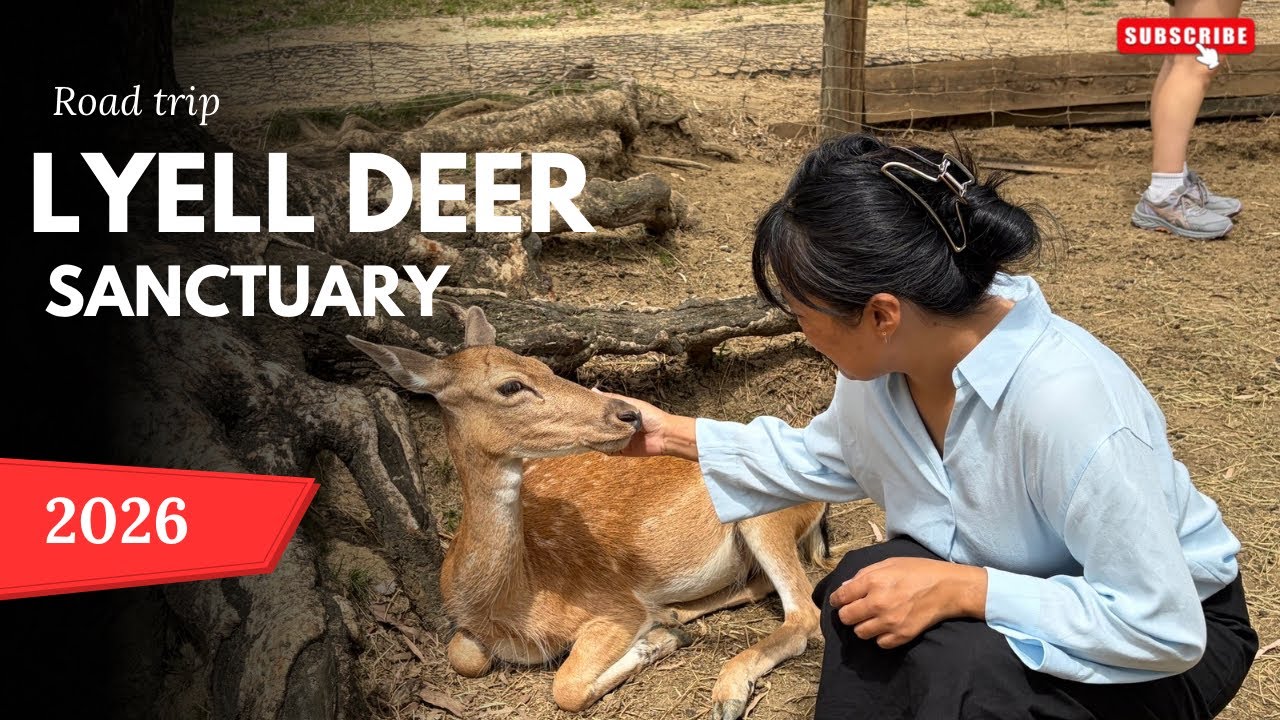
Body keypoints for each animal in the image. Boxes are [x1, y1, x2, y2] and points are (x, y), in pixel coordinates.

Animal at [348, 304, 827, 720]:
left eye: (542, 365)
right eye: (510, 385)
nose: (628, 413)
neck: (509, 606)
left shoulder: (613, 605)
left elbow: (566, 686)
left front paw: (653, 644)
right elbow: (463, 656)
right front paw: (664, 631)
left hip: (765, 515)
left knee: (805, 612)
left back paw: (724, 691)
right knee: (759, 586)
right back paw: (673, 619)